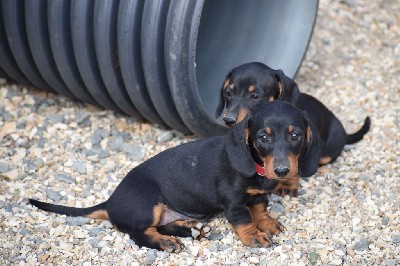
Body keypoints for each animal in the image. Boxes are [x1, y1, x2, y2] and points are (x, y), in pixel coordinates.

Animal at [29, 101, 320, 251]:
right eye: (263, 138)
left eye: (295, 135)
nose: (282, 171)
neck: (256, 166)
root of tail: (110, 203)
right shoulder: (234, 203)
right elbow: (244, 220)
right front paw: (254, 236)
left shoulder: (258, 195)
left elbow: (260, 209)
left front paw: (267, 223)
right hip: (148, 205)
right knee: (139, 233)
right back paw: (166, 242)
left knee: (161, 225)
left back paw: (191, 228)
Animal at [217, 62, 370, 194]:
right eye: (228, 93)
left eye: (254, 96)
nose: (228, 120)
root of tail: (345, 133)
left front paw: (287, 183)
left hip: (327, 152)